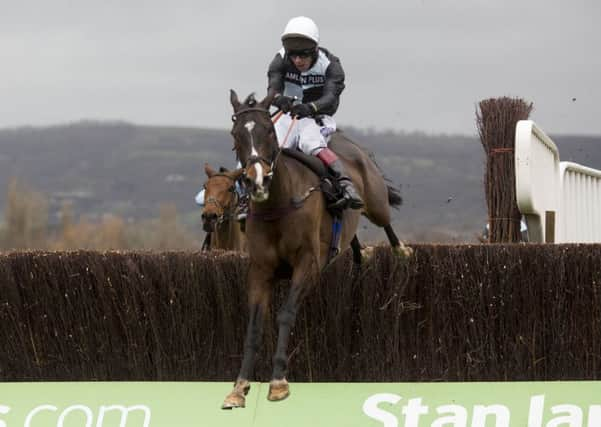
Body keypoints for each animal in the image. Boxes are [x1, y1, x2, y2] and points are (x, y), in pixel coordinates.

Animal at [223, 89, 410, 408]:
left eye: (269, 130)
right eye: (236, 134)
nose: (256, 179)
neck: (279, 203)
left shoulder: (306, 264)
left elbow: (286, 314)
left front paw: (278, 381)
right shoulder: (260, 270)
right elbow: (254, 325)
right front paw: (239, 386)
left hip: (375, 203)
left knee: (385, 218)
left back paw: (400, 249)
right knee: (351, 237)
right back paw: (361, 254)